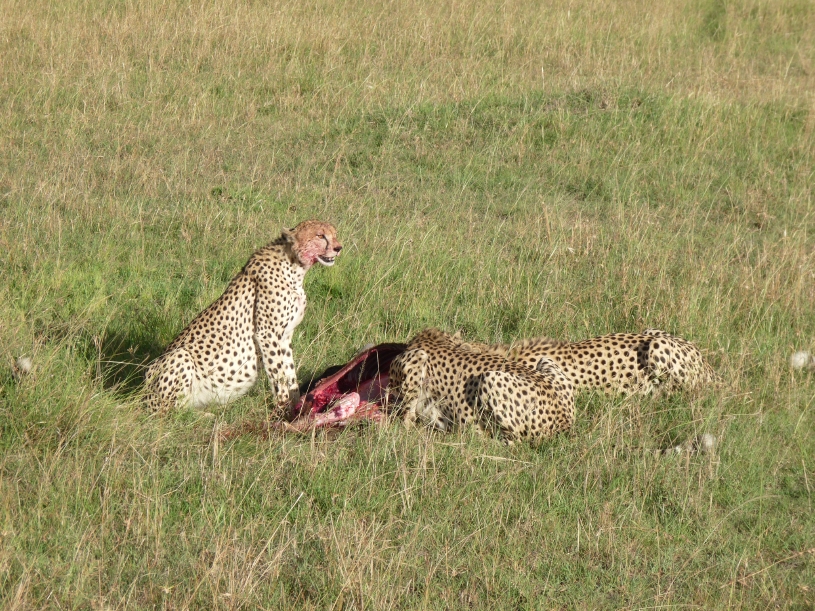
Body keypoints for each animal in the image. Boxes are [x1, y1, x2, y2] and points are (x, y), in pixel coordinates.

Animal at [144, 219, 342, 415]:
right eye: (320, 235)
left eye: (334, 234)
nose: (338, 248)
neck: (294, 266)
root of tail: (143, 394)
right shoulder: (267, 334)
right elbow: (278, 375)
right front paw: (283, 409)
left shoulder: (285, 336)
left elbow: (290, 373)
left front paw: (295, 406)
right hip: (179, 357)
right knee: (167, 412)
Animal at [387, 328, 575, 445]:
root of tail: (565, 423)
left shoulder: (414, 359)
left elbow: (406, 414)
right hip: (546, 360)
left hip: (491, 379)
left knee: (513, 443)